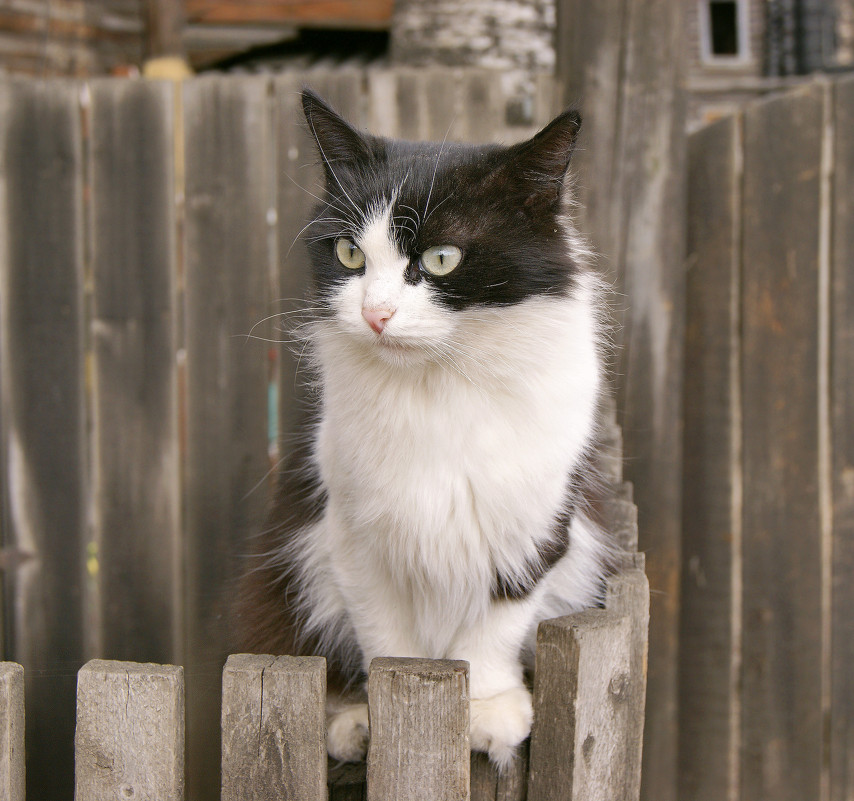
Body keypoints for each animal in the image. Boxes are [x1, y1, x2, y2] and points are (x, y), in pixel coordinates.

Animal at [237, 87, 616, 768]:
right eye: (350, 254)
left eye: (442, 259)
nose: (375, 313)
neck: (438, 385)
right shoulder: (352, 536)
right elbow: (388, 637)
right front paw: (387, 710)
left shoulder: (535, 525)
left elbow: (497, 621)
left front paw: (489, 709)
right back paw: (350, 724)